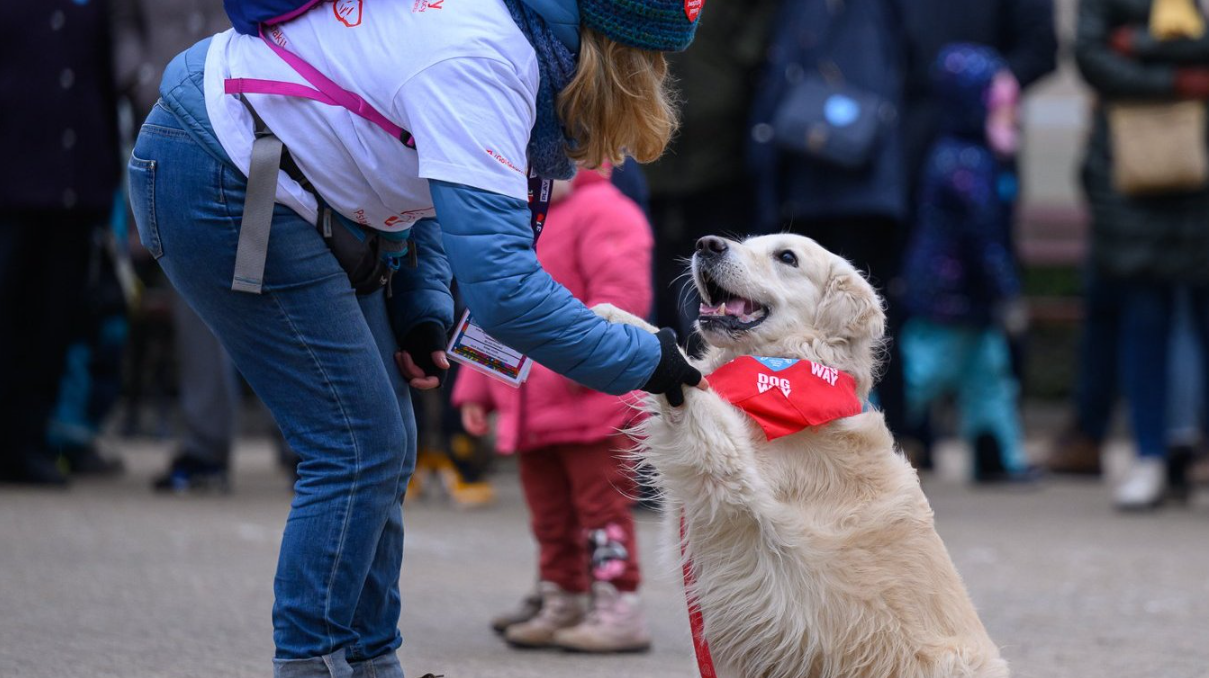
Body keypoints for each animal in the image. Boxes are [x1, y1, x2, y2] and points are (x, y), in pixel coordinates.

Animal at [597, 234, 1010, 676]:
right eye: (746, 241)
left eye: (787, 257)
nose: (707, 244)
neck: (795, 362)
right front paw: (619, 323)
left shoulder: (734, 472)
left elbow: (696, 386)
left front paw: (627, 326)